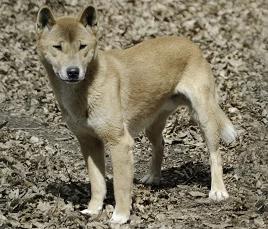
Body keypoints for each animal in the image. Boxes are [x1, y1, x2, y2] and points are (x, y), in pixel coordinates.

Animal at [36, 4, 237, 224]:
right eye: (57, 47)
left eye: (82, 46)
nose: (73, 72)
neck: (85, 88)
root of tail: (190, 42)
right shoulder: (89, 143)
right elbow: (97, 183)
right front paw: (93, 210)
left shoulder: (119, 143)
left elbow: (121, 186)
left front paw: (120, 217)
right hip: (152, 123)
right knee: (160, 145)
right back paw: (154, 176)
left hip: (204, 116)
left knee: (215, 155)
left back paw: (217, 190)